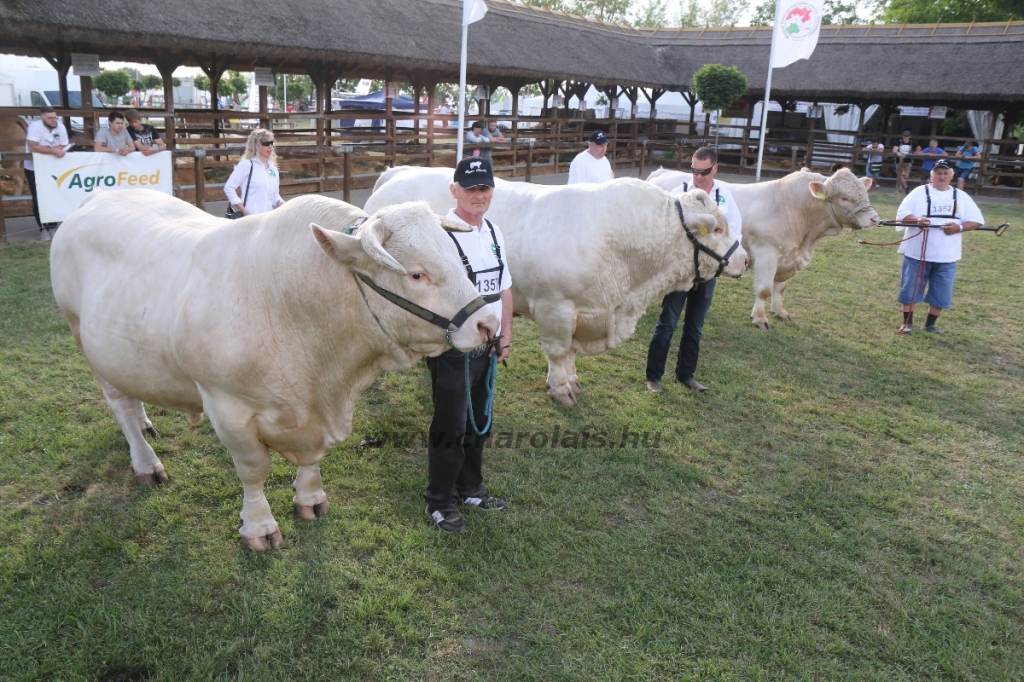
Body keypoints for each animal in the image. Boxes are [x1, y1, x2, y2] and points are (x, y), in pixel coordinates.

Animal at [52, 188, 499, 548]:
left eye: (458, 259)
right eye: (417, 274)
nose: (489, 325)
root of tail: (98, 197)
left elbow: (313, 460)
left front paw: (311, 498)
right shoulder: (227, 407)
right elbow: (253, 471)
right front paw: (259, 527)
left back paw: (147, 424)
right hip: (85, 339)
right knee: (120, 405)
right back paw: (146, 463)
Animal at [364, 164, 749, 403]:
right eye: (717, 228)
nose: (745, 259)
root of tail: (399, 172)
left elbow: (572, 355)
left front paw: (572, 380)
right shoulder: (556, 309)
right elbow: (560, 351)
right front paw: (561, 389)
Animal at [643, 168, 876, 329]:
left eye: (865, 193)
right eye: (844, 198)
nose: (874, 218)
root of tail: (661, 172)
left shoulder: (788, 257)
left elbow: (780, 288)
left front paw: (780, 312)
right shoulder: (766, 254)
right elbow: (764, 289)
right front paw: (760, 318)